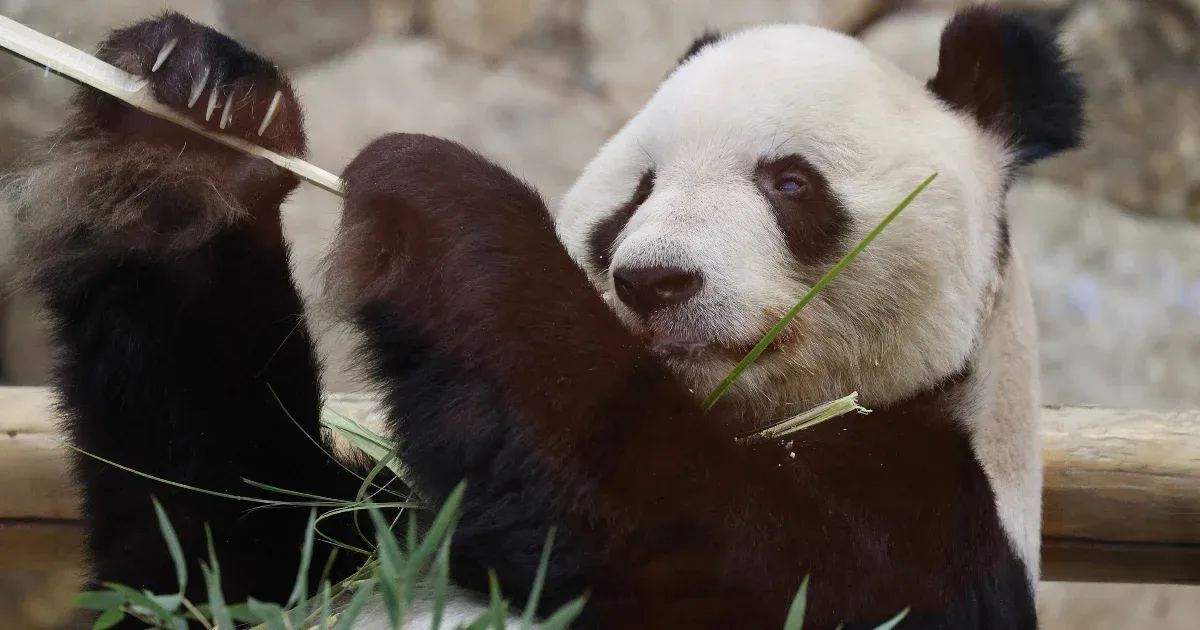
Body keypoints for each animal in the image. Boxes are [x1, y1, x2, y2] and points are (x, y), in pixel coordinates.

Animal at [4, 6, 1084, 628]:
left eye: (789, 183)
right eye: (633, 196)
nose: (654, 281)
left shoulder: (936, 533)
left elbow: (710, 551)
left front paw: (430, 196)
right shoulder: (386, 536)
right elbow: (213, 543)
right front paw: (192, 120)